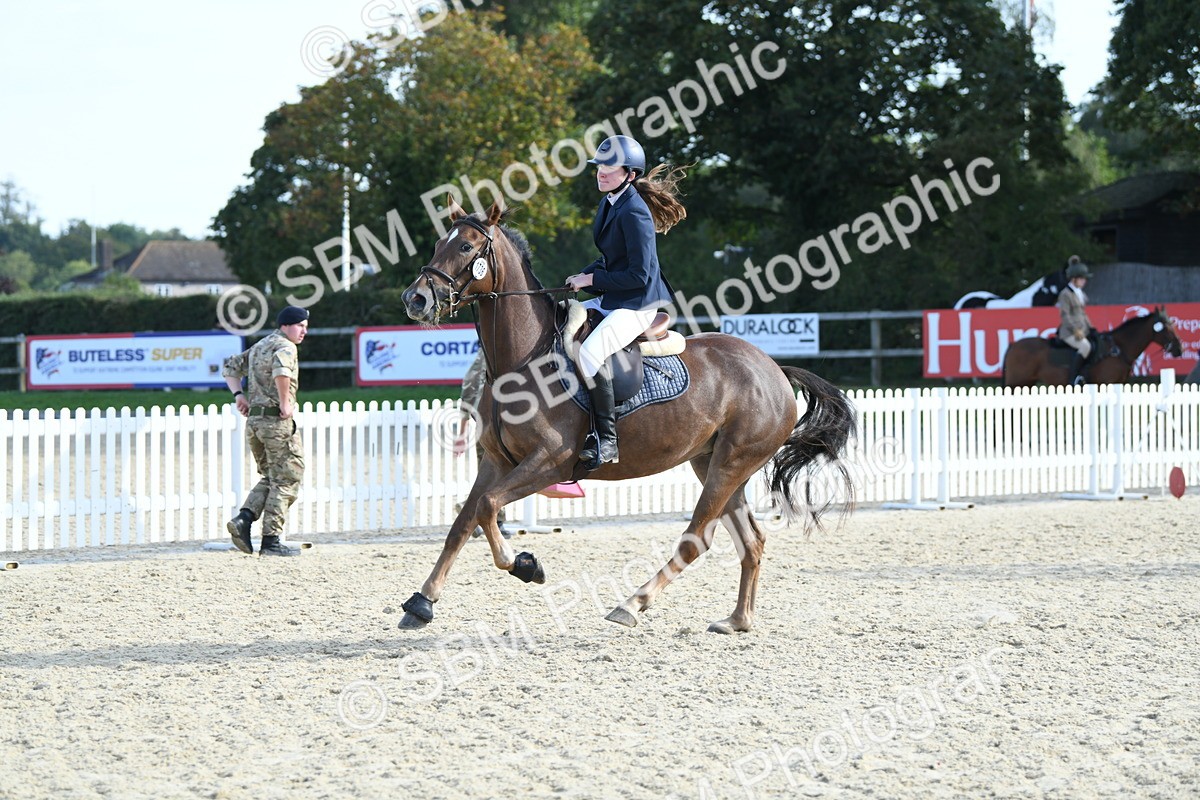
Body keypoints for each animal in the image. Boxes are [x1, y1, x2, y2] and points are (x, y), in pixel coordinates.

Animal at [397, 200, 857, 634]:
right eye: (437, 244)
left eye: (466, 247)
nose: (415, 299)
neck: (525, 360)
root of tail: (775, 369)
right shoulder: (496, 462)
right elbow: (465, 520)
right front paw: (422, 603)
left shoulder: (551, 462)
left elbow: (488, 505)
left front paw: (526, 564)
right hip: (713, 462)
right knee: (751, 541)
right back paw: (737, 620)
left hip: (731, 463)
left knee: (695, 539)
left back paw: (631, 605)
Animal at [1002, 307, 1183, 387]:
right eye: (1166, 328)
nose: (1179, 349)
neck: (1118, 349)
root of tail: (1013, 345)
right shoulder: (1107, 383)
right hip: (1016, 382)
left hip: (1027, 382)